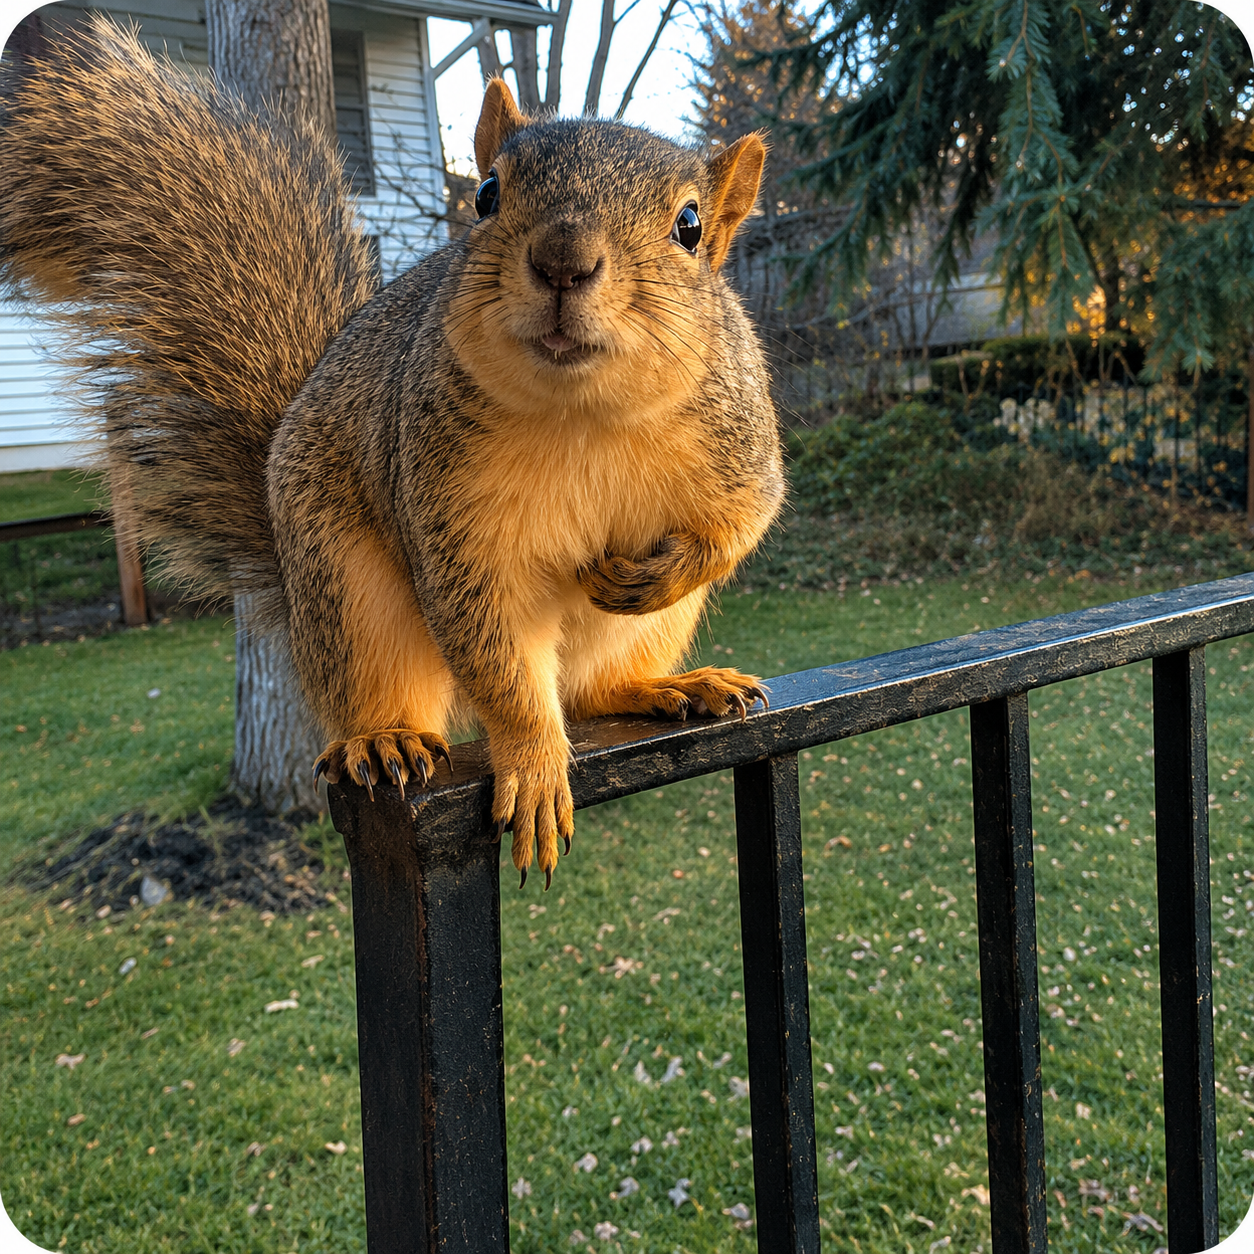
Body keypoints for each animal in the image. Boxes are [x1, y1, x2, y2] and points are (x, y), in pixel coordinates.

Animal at [0, 17, 784, 888]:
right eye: (486, 195)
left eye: (690, 227)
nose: (561, 262)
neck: (583, 412)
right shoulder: (451, 521)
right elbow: (498, 665)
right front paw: (535, 770)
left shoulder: (737, 440)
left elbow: (745, 519)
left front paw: (661, 569)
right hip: (346, 589)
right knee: (447, 688)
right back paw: (385, 737)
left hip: (646, 628)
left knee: (589, 692)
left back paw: (669, 686)